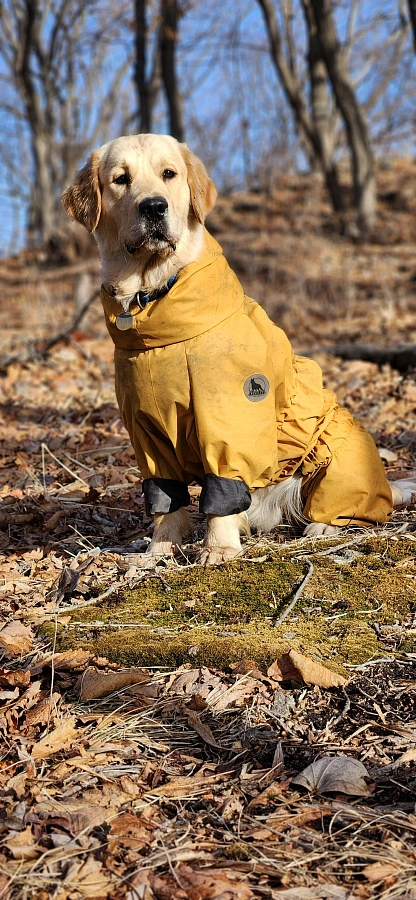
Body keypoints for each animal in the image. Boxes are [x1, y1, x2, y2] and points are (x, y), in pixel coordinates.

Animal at [61, 131, 412, 568]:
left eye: (169, 174)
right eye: (120, 179)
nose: (154, 206)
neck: (152, 299)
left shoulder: (228, 418)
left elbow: (222, 486)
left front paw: (218, 548)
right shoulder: (147, 432)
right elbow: (166, 498)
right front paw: (159, 550)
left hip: (336, 458)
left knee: (351, 510)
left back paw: (323, 527)